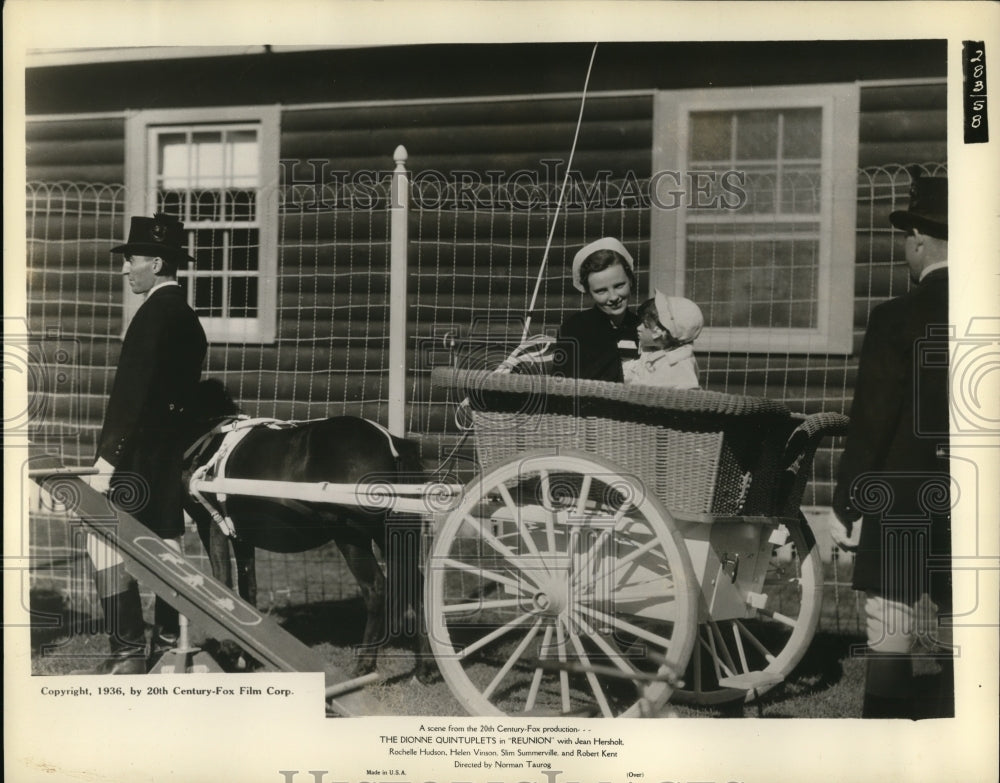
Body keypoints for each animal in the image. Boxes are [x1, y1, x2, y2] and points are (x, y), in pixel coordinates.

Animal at [182, 378, 432, 680]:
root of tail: (391, 443)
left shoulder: (211, 523)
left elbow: (222, 580)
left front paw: (231, 649)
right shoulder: (241, 535)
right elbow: (248, 588)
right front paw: (246, 654)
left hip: (351, 537)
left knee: (376, 589)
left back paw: (364, 665)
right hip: (391, 537)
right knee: (415, 585)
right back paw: (424, 668)